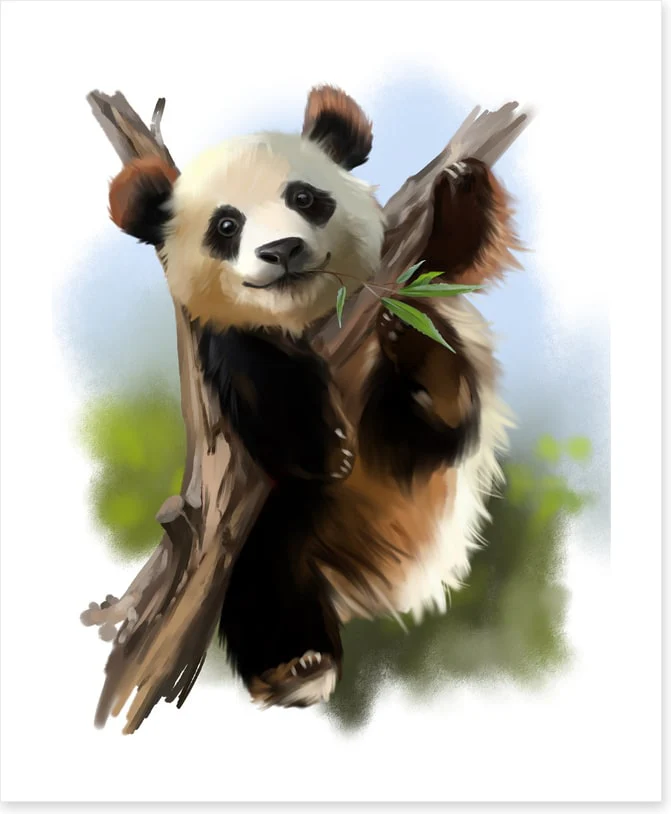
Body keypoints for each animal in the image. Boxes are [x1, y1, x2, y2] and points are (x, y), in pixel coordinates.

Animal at [108, 85, 517, 709]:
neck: (306, 316)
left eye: (304, 197)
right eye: (226, 225)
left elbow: (443, 266)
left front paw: (460, 190)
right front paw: (324, 446)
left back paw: (428, 375)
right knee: (263, 578)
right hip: (270, 527)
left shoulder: (397, 281)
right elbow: (249, 365)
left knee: (435, 416)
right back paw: (296, 666)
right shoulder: (229, 355)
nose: (281, 250)